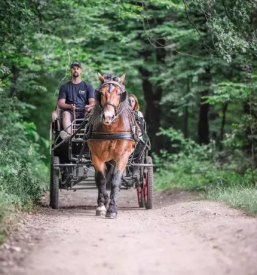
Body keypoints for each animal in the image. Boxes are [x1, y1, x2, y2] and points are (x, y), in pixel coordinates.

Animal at [87, 72, 135, 219]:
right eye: (101, 93)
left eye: (119, 93)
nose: (108, 117)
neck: (110, 130)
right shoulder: (96, 156)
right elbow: (101, 180)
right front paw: (102, 206)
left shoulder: (122, 156)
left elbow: (115, 181)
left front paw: (112, 209)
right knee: (100, 178)